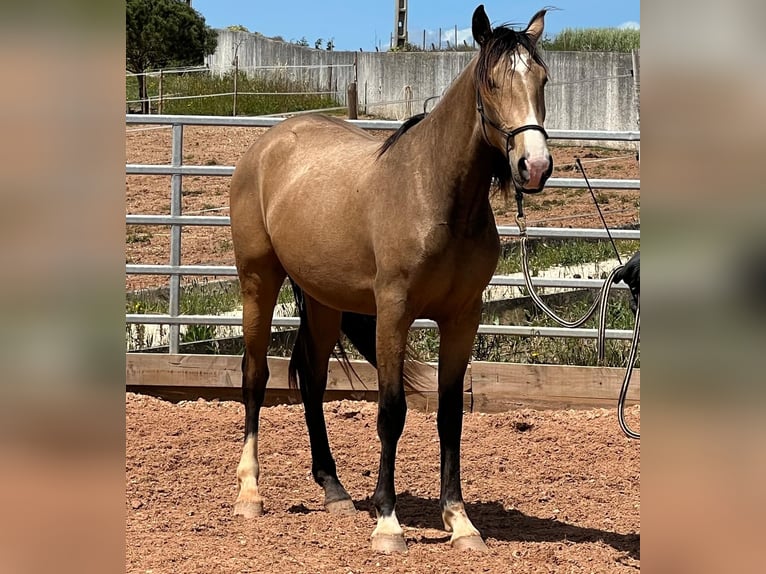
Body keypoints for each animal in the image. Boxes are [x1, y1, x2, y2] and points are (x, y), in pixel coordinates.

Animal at [228, 3, 552, 552]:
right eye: (491, 84)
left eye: (543, 80)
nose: (534, 166)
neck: (436, 195)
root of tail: (266, 145)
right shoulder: (394, 312)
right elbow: (392, 411)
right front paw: (387, 522)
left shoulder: (463, 317)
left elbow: (449, 414)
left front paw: (459, 521)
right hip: (258, 280)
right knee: (255, 377)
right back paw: (250, 493)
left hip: (323, 301)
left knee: (313, 380)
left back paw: (334, 490)